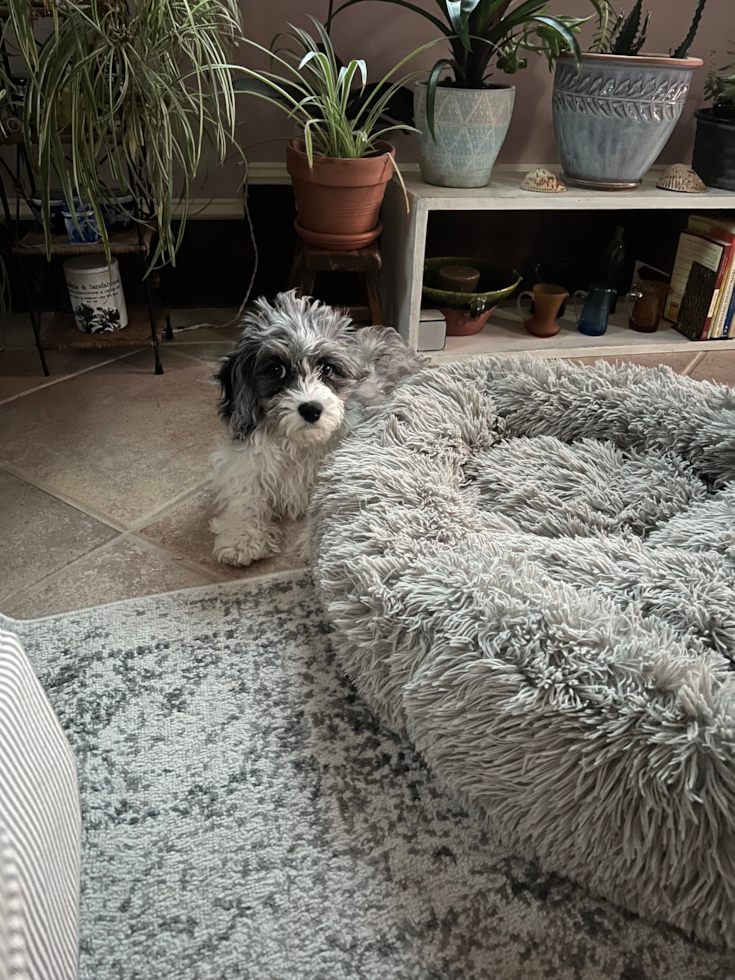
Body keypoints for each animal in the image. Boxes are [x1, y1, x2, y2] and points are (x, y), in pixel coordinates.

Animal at [207, 290, 426, 568]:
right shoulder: (243, 462)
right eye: (277, 369)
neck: (300, 443)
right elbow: (244, 496)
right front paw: (241, 538)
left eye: (327, 368)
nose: (311, 409)